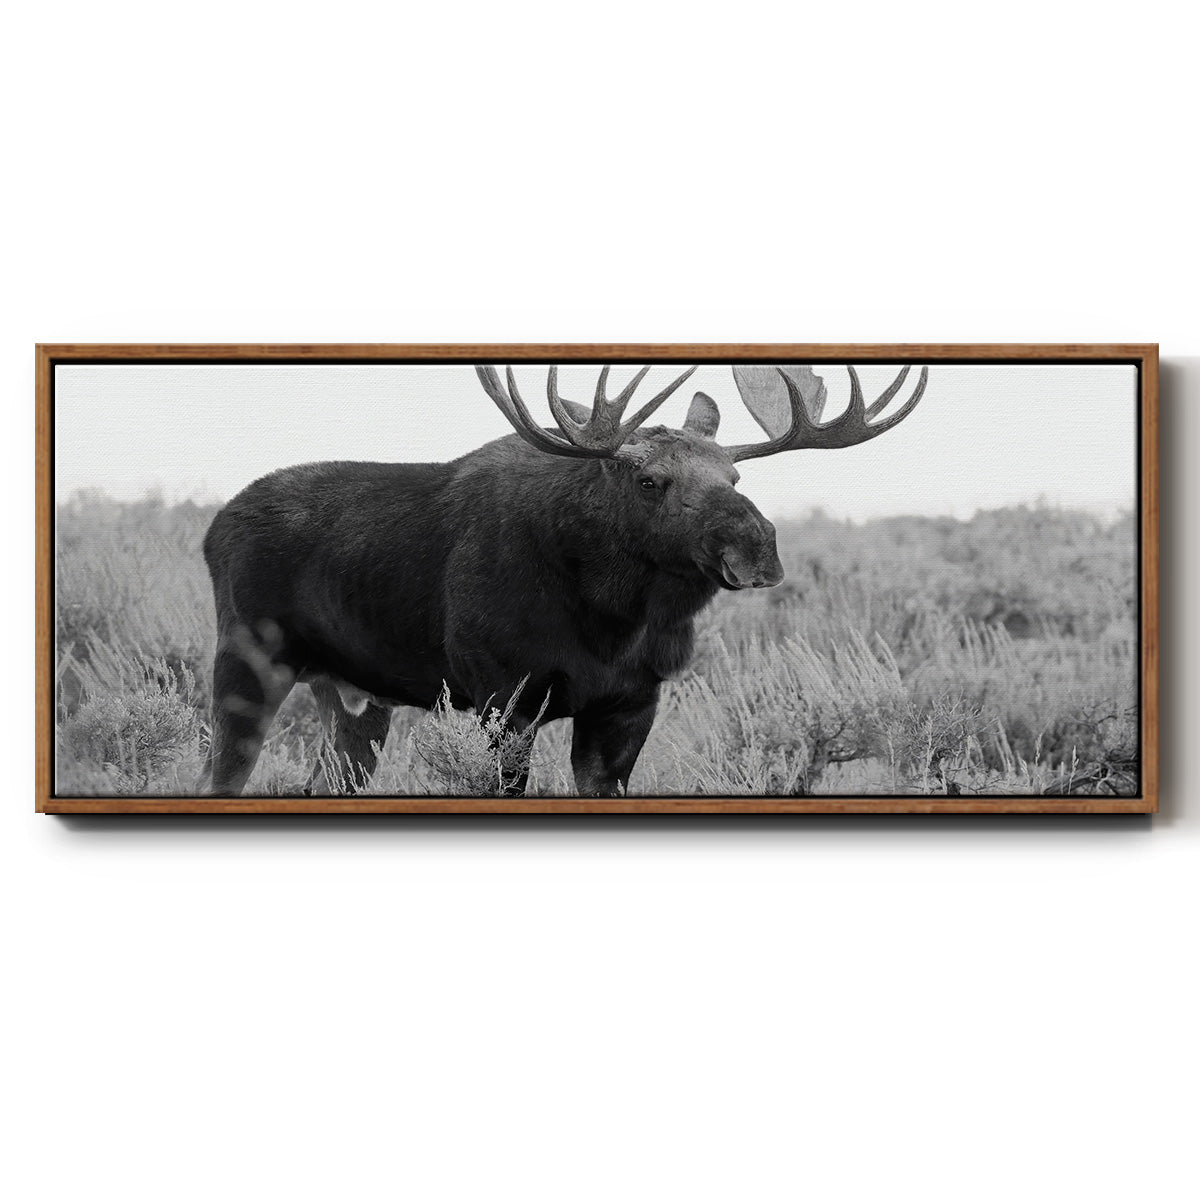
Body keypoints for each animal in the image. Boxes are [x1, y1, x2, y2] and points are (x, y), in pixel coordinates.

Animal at [200, 361, 927, 797]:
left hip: (352, 695)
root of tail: (212, 527)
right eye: (650, 480)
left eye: (735, 474)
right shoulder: (504, 694)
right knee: (220, 775)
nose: (756, 547)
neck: (611, 619)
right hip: (245, 663)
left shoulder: (631, 702)